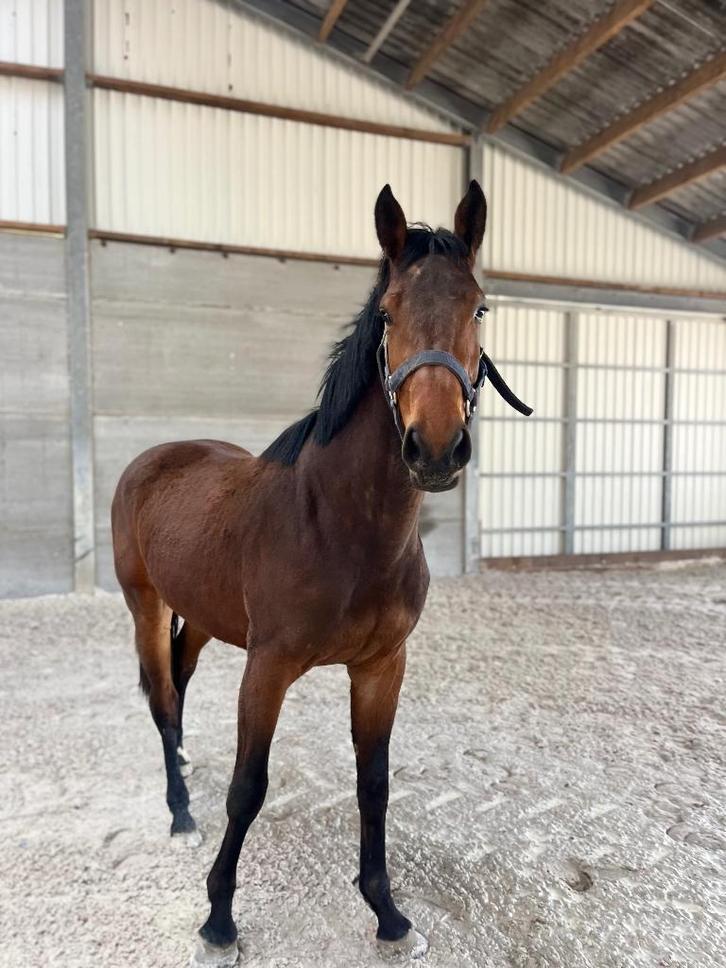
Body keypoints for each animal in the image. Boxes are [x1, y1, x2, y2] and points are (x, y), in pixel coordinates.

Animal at [111, 180, 532, 966]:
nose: (435, 448)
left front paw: (388, 912)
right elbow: (248, 787)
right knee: (161, 698)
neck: (339, 526)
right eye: (389, 312)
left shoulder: (382, 666)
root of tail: (152, 458)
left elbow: (375, 785)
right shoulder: (269, 666)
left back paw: (183, 773)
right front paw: (218, 918)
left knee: (178, 684)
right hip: (145, 605)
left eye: (481, 306)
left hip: (203, 619)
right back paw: (180, 813)